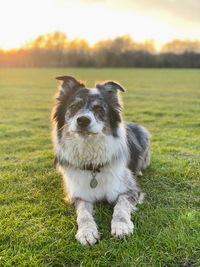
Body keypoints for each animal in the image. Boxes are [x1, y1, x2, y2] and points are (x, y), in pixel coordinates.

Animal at [51, 75, 150, 247]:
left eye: (99, 109)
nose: (83, 120)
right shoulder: (78, 195)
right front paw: (86, 232)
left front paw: (121, 226)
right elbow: (83, 214)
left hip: (144, 133)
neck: (93, 164)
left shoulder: (130, 190)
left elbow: (121, 206)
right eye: (74, 106)